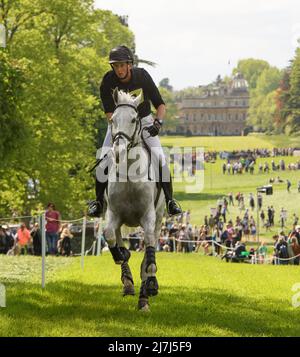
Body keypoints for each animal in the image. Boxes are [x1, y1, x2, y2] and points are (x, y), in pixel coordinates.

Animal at [102, 88, 164, 308]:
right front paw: (121, 257)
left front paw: (149, 288)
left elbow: (149, 250)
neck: (129, 173)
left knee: (150, 246)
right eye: (113, 120)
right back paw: (128, 281)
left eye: (134, 119)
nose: (118, 152)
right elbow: (110, 236)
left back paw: (147, 289)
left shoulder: (148, 216)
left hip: (159, 217)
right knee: (118, 239)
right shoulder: (113, 214)